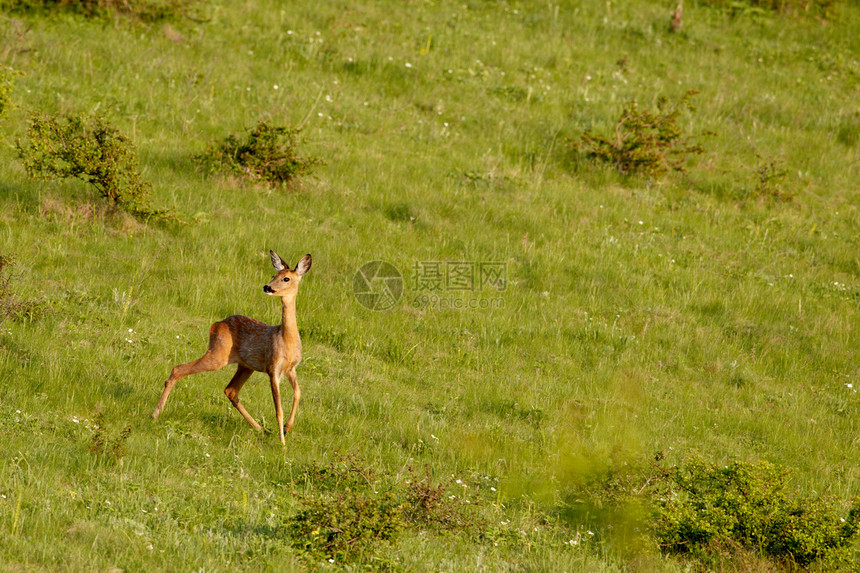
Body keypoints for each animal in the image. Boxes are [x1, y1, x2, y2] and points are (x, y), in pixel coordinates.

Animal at [152, 250, 312, 442]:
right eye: (274, 275)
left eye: (286, 278)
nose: (267, 287)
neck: (286, 340)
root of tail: (216, 324)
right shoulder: (273, 368)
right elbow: (278, 409)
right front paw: (282, 442)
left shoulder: (291, 368)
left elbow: (298, 393)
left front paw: (288, 428)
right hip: (218, 354)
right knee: (178, 369)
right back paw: (155, 414)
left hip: (245, 365)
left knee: (230, 390)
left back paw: (259, 428)